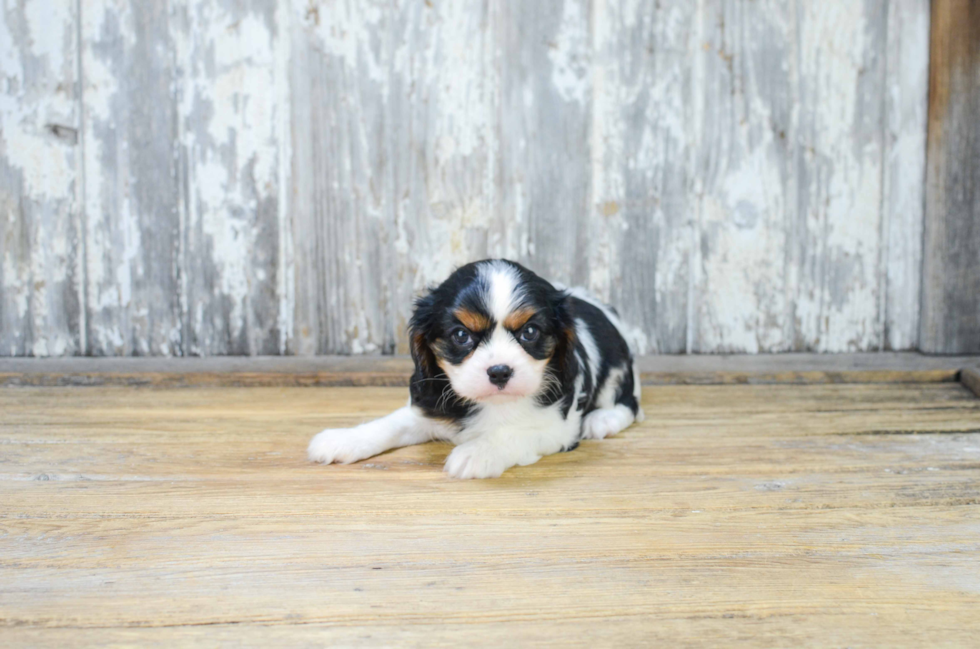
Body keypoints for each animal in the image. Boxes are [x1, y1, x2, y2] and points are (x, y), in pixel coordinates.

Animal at [308, 260, 644, 478]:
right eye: (461, 335)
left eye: (530, 332)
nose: (499, 371)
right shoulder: (429, 405)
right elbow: (392, 423)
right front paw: (344, 439)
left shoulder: (558, 428)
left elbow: (516, 433)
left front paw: (479, 452)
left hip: (618, 371)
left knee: (630, 404)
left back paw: (602, 420)